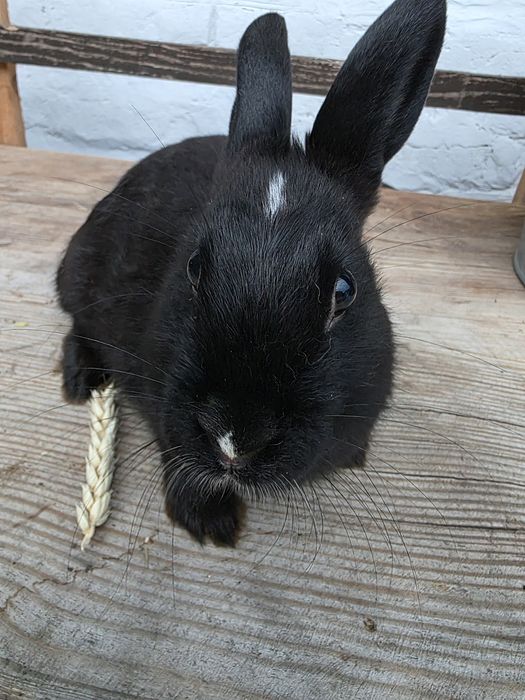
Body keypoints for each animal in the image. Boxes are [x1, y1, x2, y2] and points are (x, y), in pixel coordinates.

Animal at [56, 0, 446, 546]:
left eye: (344, 290)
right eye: (194, 268)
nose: (233, 441)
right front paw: (211, 523)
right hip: (79, 275)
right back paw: (81, 380)